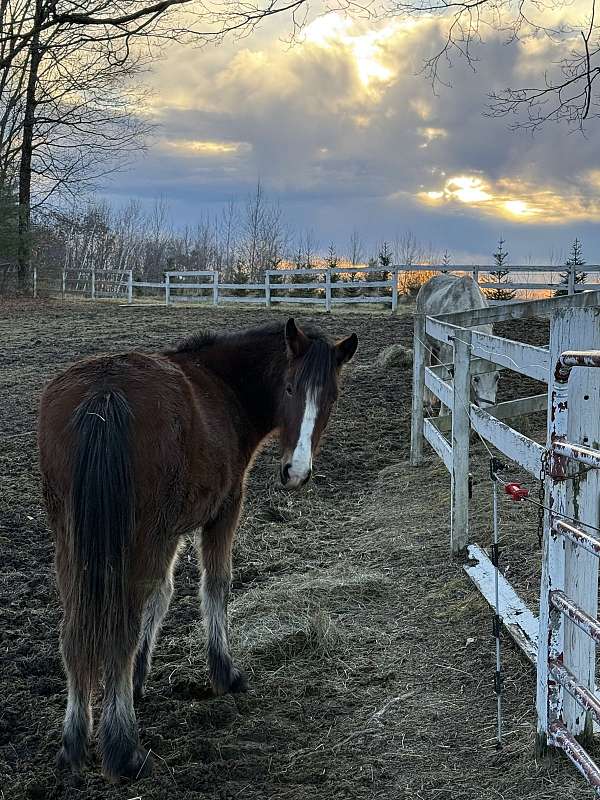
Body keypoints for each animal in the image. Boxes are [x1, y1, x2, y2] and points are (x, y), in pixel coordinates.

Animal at [38, 318, 356, 780]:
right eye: (290, 387)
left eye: (331, 397)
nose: (296, 472)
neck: (222, 383)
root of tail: (105, 393)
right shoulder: (223, 509)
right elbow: (216, 586)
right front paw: (224, 671)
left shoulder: (168, 532)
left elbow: (160, 595)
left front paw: (139, 677)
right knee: (117, 631)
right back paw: (122, 747)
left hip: (71, 541)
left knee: (75, 632)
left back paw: (74, 742)